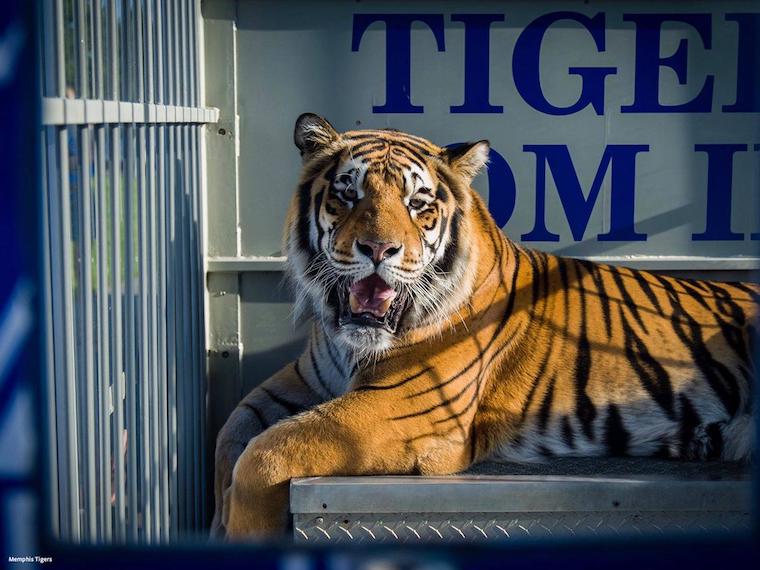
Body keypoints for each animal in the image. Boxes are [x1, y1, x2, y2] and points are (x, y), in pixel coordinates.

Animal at [212, 113, 758, 539]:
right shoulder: (301, 384)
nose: (379, 249)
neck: (348, 341)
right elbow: (231, 431)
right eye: (348, 193)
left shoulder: (404, 406)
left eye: (417, 203)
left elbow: (268, 452)